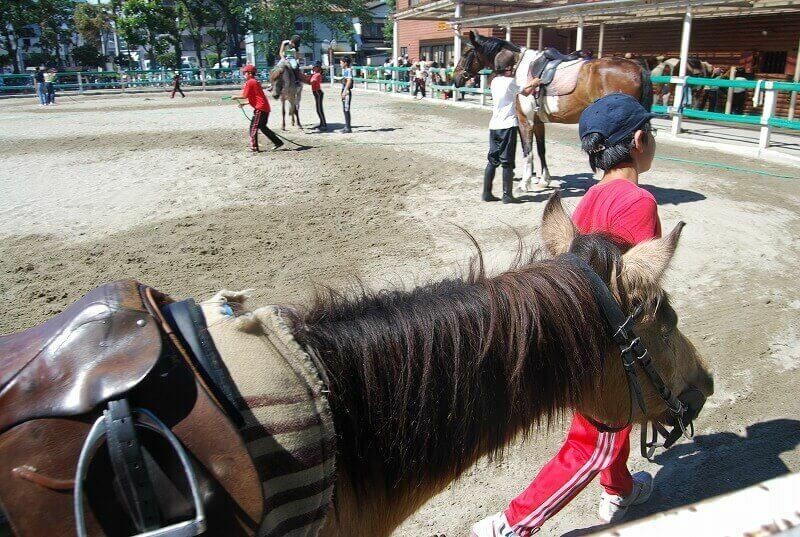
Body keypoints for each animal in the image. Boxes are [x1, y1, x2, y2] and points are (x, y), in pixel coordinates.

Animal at [454, 31, 652, 193]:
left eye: (466, 53)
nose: (455, 78)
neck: (519, 68)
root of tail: (637, 67)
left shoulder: (525, 121)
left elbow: (527, 151)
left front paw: (525, 183)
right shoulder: (538, 122)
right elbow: (541, 150)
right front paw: (544, 180)